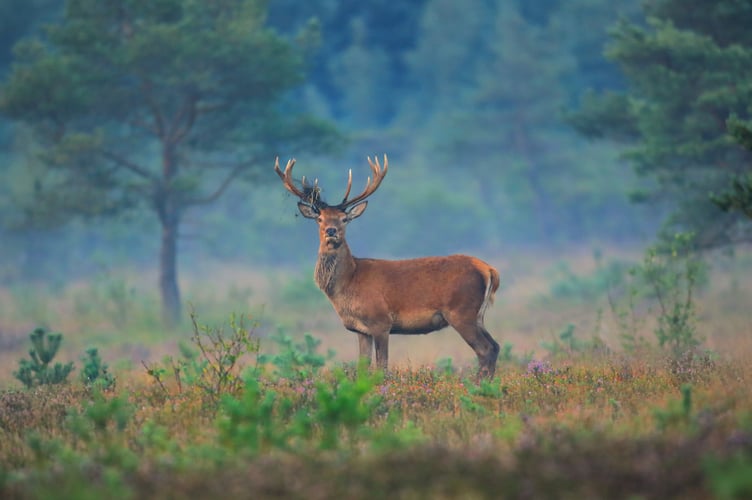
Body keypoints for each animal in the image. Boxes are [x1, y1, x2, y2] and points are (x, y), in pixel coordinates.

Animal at [274, 155, 501, 379]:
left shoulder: (380, 321)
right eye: (319, 218)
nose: (331, 231)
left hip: (461, 311)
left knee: (485, 349)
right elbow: (363, 366)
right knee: (495, 346)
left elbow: (382, 367)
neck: (348, 282)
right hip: (477, 315)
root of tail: (488, 270)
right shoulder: (361, 329)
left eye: (344, 219)